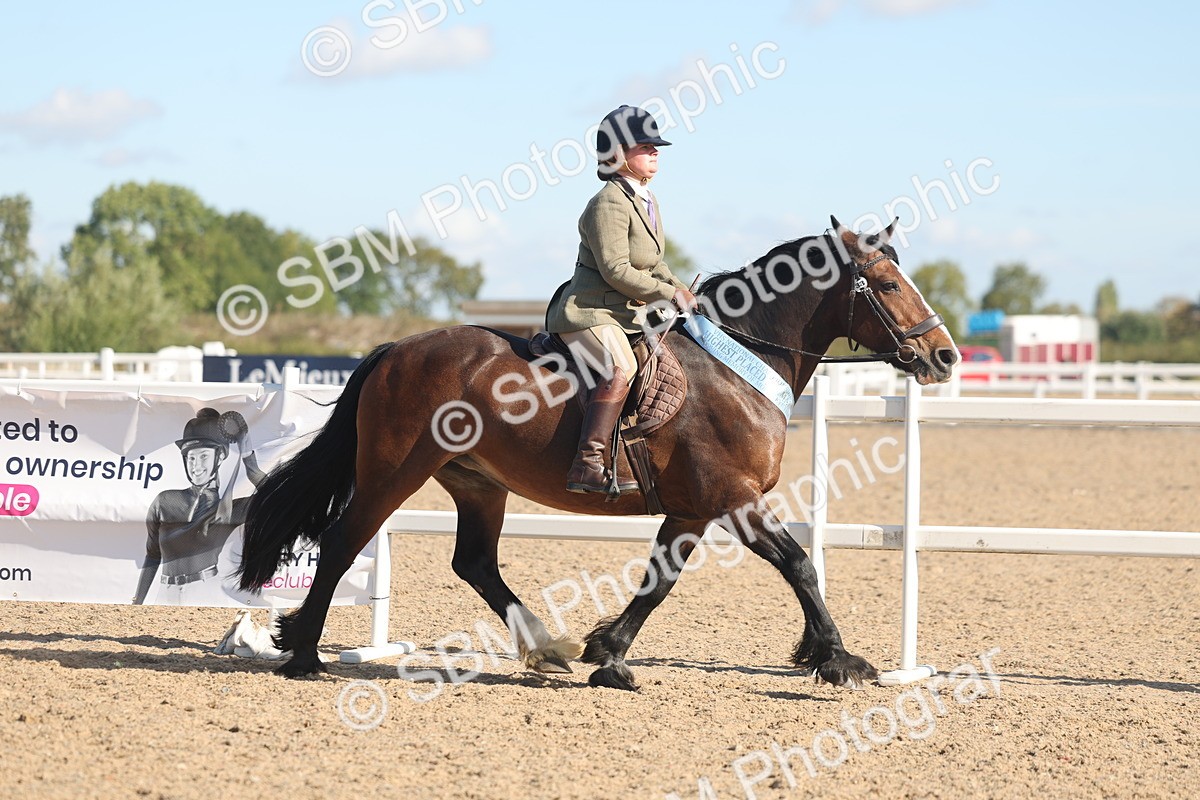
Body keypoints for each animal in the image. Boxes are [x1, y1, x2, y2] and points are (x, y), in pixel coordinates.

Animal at [237, 216, 959, 690]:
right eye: (887, 284)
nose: (944, 355)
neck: (741, 363)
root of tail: (395, 350)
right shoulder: (735, 499)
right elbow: (799, 565)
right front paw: (839, 660)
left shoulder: (694, 509)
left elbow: (659, 580)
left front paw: (607, 654)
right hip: (394, 472)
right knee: (341, 541)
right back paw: (303, 655)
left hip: (477, 482)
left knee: (475, 563)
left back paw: (545, 648)